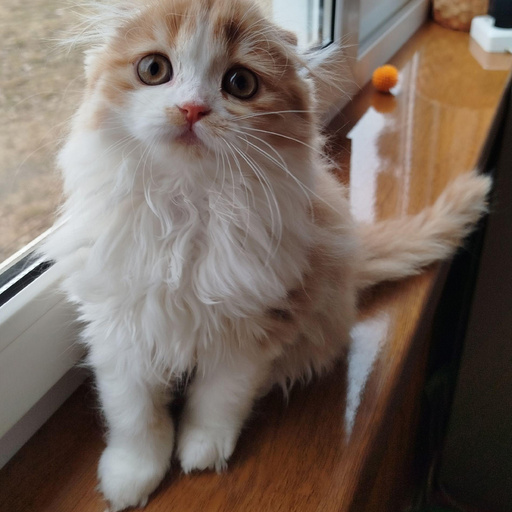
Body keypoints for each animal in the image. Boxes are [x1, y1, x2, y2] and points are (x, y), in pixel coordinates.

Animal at [41, 0, 491, 510]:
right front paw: (131, 474)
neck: (187, 209)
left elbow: (218, 399)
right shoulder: (119, 327)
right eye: (154, 69)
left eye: (240, 83)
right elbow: (133, 413)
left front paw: (201, 449)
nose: (192, 108)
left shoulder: (259, 323)